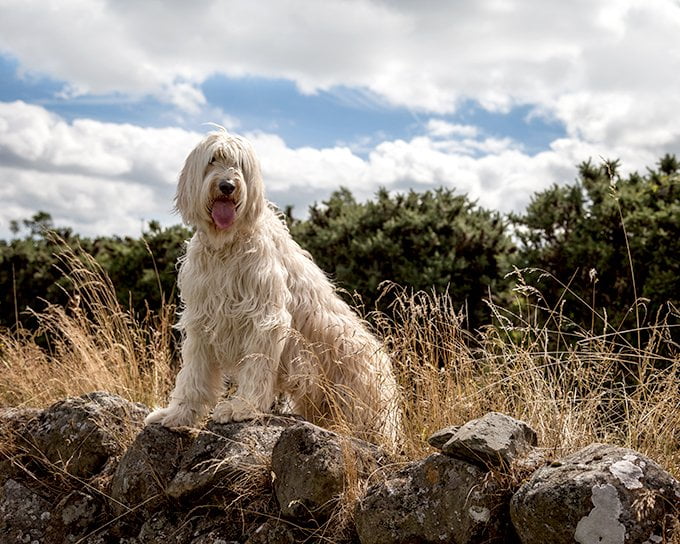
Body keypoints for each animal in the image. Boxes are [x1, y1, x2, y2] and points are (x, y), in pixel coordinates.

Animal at [143, 130, 398, 444]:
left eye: (239, 163)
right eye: (213, 159)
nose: (227, 185)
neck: (228, 244)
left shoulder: (264, 316)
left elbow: (257, 365)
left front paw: (241, 407)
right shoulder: (203, 318)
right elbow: (193, 375)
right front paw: (176, 414)